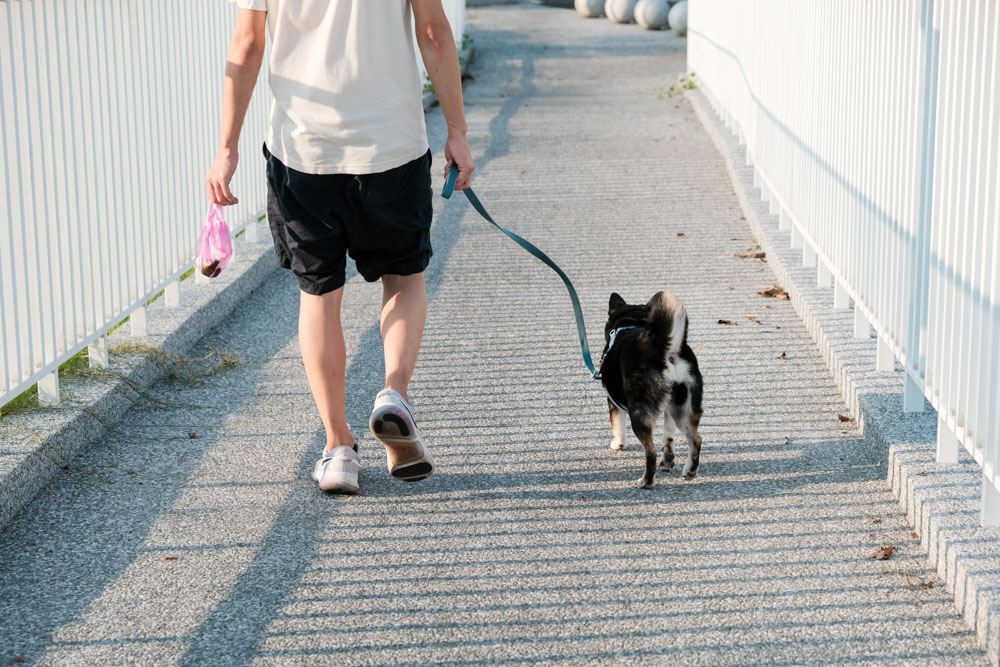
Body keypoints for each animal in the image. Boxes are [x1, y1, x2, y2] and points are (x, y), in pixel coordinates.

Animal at [600, 292, 704, 490]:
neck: (631, 323)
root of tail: (664, 350)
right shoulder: (669, 409)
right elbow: (668, 437)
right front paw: (668, 460)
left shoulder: (613, 402)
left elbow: (617, 426)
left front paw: (618, 444)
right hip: (682, 408)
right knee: (695, 440)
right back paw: (690, 471)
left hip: (640, 414)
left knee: (651, 452)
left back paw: (646, 482)